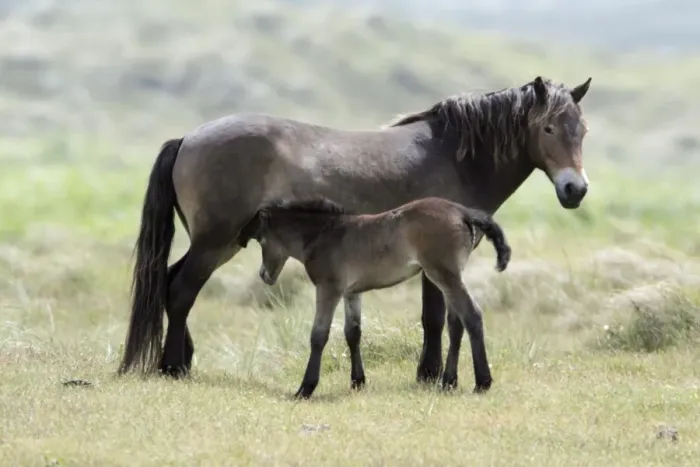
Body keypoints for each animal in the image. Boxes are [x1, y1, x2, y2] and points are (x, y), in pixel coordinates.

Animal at [237, 196, 512, 398]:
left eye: (261, 240)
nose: (264, 275)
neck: (325, 234)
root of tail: (462, 211)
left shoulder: (328, 289)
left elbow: (318, 335)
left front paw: (305, 388)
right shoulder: (352, 292)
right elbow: (353, 332)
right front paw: (357, 381)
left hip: (444, 275)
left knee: (472, 315)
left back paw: (482, 382)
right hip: (449, 278)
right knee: (457, 322)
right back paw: (449, 382)